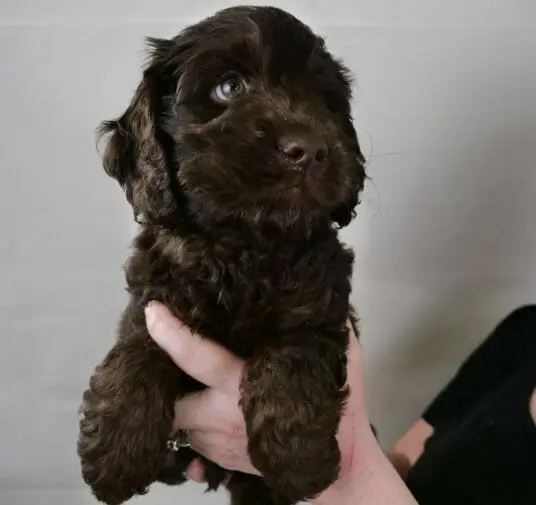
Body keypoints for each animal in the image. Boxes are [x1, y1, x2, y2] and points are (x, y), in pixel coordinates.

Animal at [76, 4, 364, 504]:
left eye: (325, 100)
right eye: (229, 87)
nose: (310, 149)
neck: (244, 245)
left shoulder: (322, 301)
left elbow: (295, 352)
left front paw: (299, 459)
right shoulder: (154, 298)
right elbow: (137, 345)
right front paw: (114, 452)